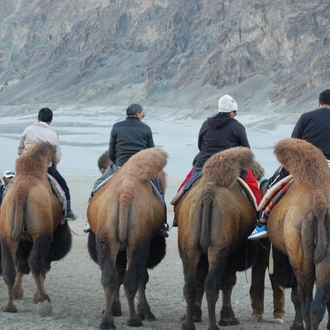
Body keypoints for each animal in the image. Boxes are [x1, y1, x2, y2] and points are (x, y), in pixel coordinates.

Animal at [0, 142, 72, 318]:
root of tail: (22, 192)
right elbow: (40, 265)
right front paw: (37, 297)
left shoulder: (23, 240)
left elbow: (21, 265)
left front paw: (19, 293)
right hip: (41, 233)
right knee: (35, 262)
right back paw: (44, 301)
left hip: (7, 233)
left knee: (10, 267)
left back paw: (9, 306)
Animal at [87, 148, 168, 330]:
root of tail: (126, 192)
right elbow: (139, 276)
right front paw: (144, 311)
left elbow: (121, 276)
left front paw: (117, 309)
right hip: (136, 243)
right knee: (129, 279)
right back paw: (133, 319)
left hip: (109, 240)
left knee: (111, 279)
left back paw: (108, 321)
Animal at [177, 147, 260, 330]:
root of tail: (208, 192)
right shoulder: (232, 254)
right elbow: (228, 282)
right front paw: (228, 318)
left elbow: (200, 280)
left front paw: (195, 315)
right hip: (219, 249)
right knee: (212, 284)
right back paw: (213, 325)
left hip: (190, 247)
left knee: (191, 284)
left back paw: (188, 324)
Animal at [264, 137, 330, 330]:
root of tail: (319, 200)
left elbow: (294, 295)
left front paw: (296, 325)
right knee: (318, 305)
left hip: (300, 253)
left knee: (306, 300)